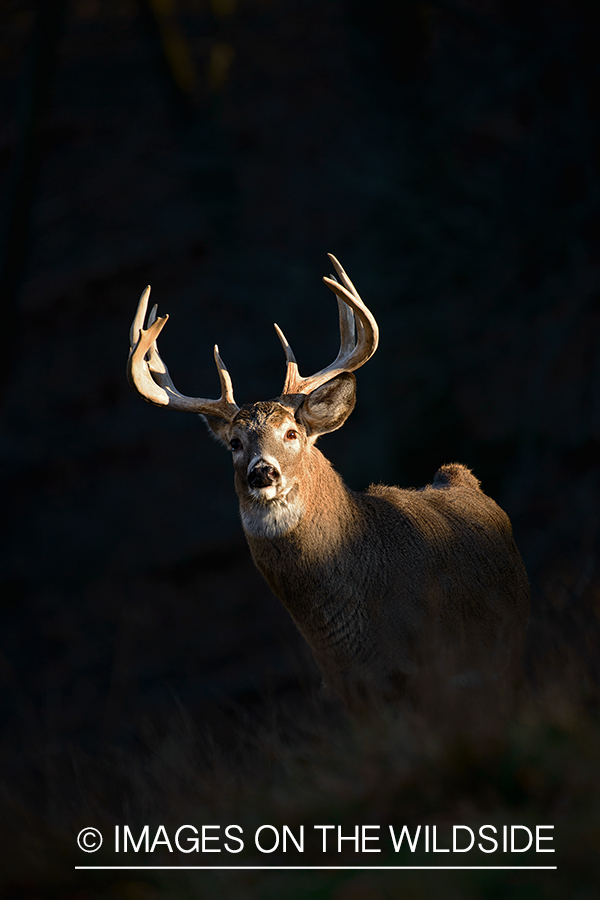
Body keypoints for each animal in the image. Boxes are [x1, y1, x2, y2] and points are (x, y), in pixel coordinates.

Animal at [127, 255, 528, 712]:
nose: (262, 472)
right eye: (234, 442)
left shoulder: (430, 668)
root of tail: (460, 477)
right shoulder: (350, 689)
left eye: (291, 433)